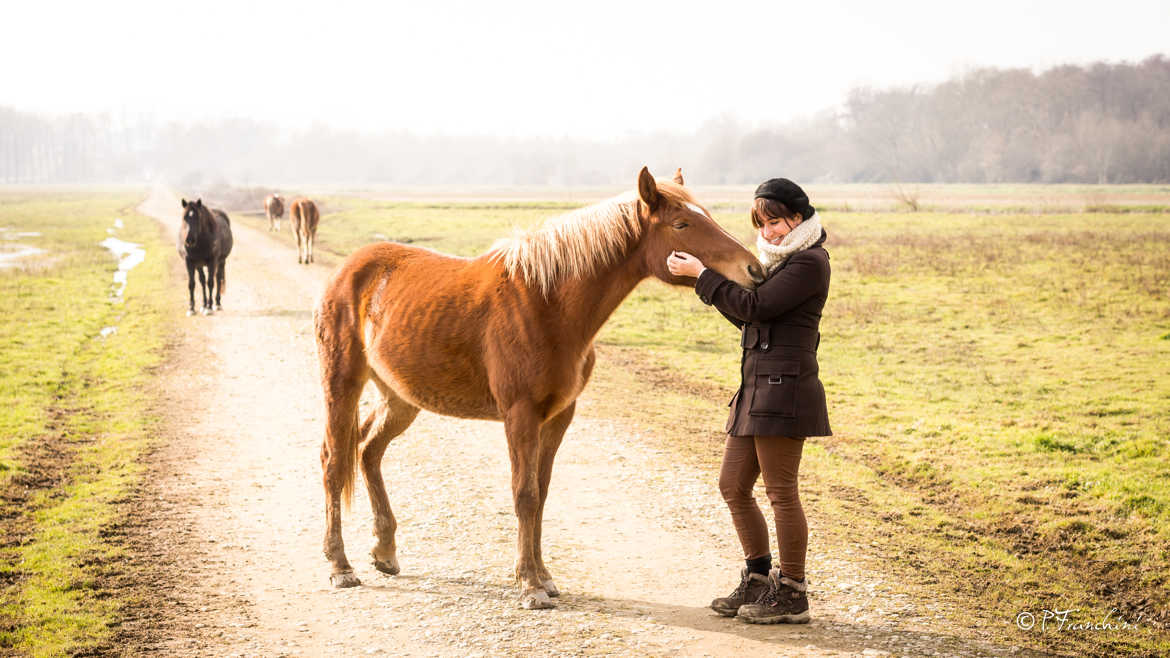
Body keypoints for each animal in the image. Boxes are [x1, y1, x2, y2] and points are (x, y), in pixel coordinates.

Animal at [315, 166, 762, 608]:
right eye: (681, 224)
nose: (754, 271)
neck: (546, 304)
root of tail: (348, 270)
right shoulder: (520, 415)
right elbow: (524, 494)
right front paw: (529, 584)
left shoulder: (558, 416)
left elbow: (541, 493)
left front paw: (544, 577)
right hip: (343, 385)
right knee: (335, 462)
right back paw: (340, 566)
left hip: (400, 398)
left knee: (368, 451)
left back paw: (385, 552)